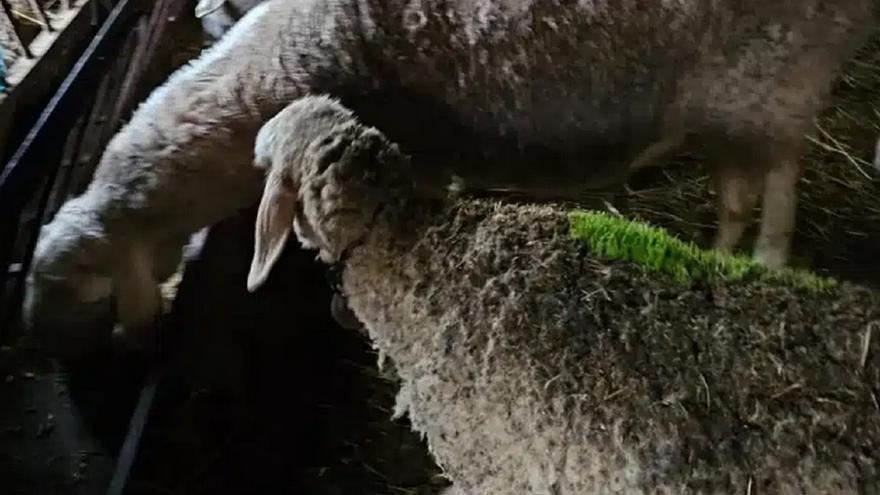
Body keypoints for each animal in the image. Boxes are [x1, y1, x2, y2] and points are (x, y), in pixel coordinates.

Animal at [26, 0, 876, 357]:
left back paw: (766, 262)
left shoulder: (412, 149)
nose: (47, 353)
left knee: (779, 187)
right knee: (738, 186)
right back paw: (722, 254)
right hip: (732, 100)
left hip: (777, 79)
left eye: (78, 283)